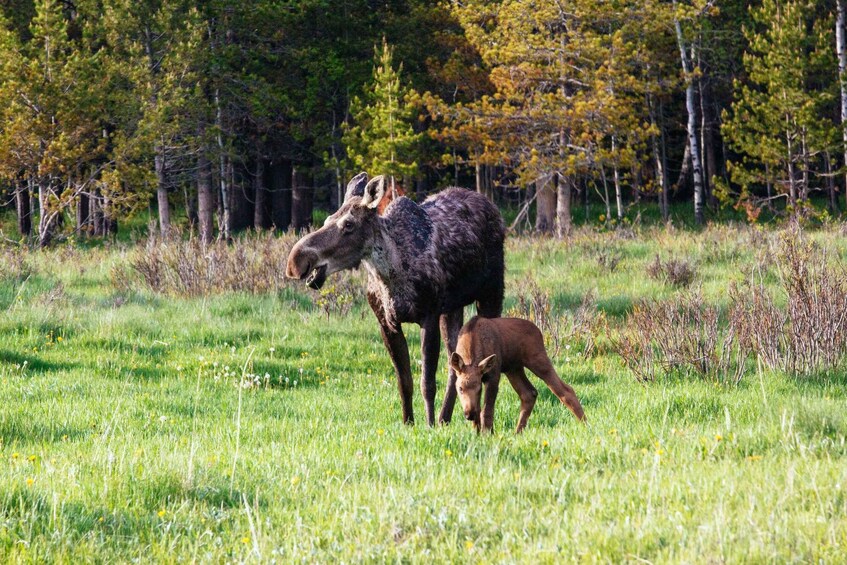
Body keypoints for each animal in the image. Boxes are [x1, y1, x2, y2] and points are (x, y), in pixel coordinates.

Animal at [284, 172, 504, 424]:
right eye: (328, 219)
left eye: (348, 224)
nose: (296, 261)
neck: (391, 274)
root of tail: (494, 209)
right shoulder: (387, 323)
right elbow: (404, 382)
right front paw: (409, 422)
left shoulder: (428, 317)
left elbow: (427, 383)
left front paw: (429, 424)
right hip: (452, 308)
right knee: (456, 361)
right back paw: (444, 418)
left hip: (491, 293)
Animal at [450, 318, 584, 432]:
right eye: (460, 388)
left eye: (479, 389)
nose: (469, 414)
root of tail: (539, 332)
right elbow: (479, 412)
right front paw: (478, 434)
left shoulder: (493, 375)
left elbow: (487, 411)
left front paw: (486, 435)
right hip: (514, 368)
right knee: (529, 393)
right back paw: (517, 432)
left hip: (537, 360)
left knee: (566, 390)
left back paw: (585, 424)